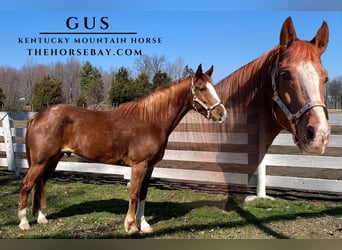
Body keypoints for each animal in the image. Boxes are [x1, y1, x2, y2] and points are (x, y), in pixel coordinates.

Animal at [18, 64, 227, 234]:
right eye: (201, 88)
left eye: (213, 87)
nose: (222, 114)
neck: (150, 121)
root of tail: (36, 117)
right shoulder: (139, 166)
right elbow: (134, 194)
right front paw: (131, 226)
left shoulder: (150, 167)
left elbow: (143, 194)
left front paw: (145, 226)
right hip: (40, 162)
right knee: (27, 184)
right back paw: (24, 222)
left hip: (52, 160)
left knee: (39, 183)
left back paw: (41, 218)